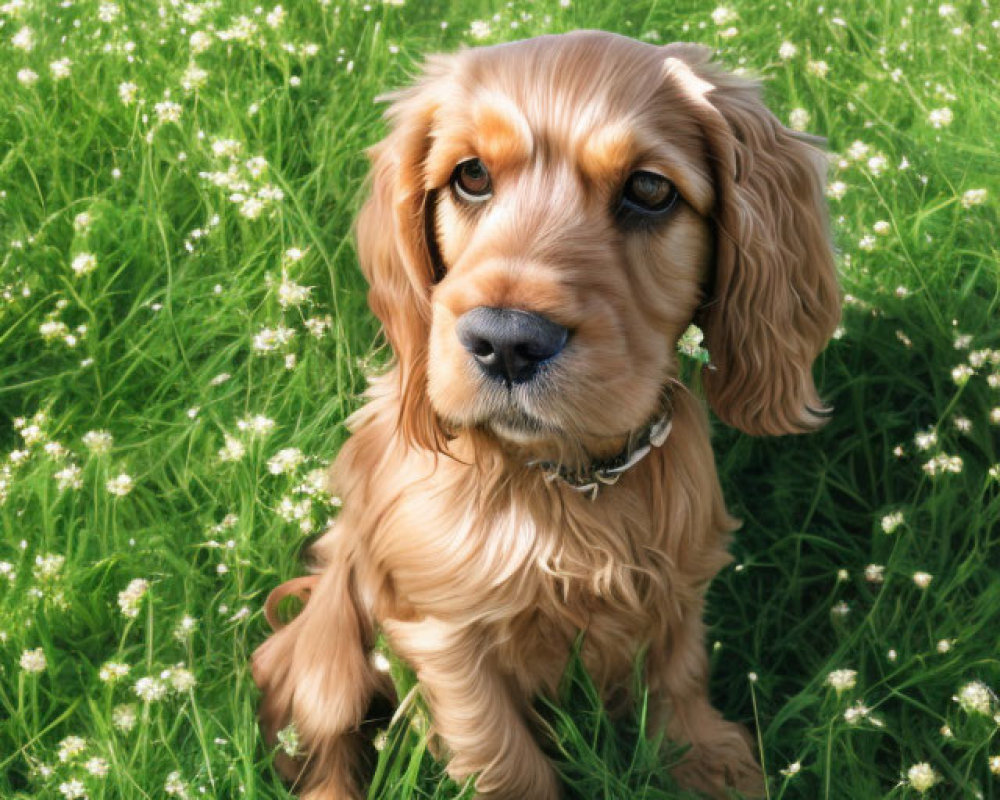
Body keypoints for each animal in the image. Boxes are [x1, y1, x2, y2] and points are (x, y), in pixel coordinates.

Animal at [252, 29, 844, 800]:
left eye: (649, 189)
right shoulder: (446, 635)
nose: (506, 341)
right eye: (471, 175)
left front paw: (708, 761)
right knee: (324, 748)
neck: (566, 483)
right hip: (329, 658)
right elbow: (503, 757)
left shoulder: (677, 575)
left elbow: (679, 674)